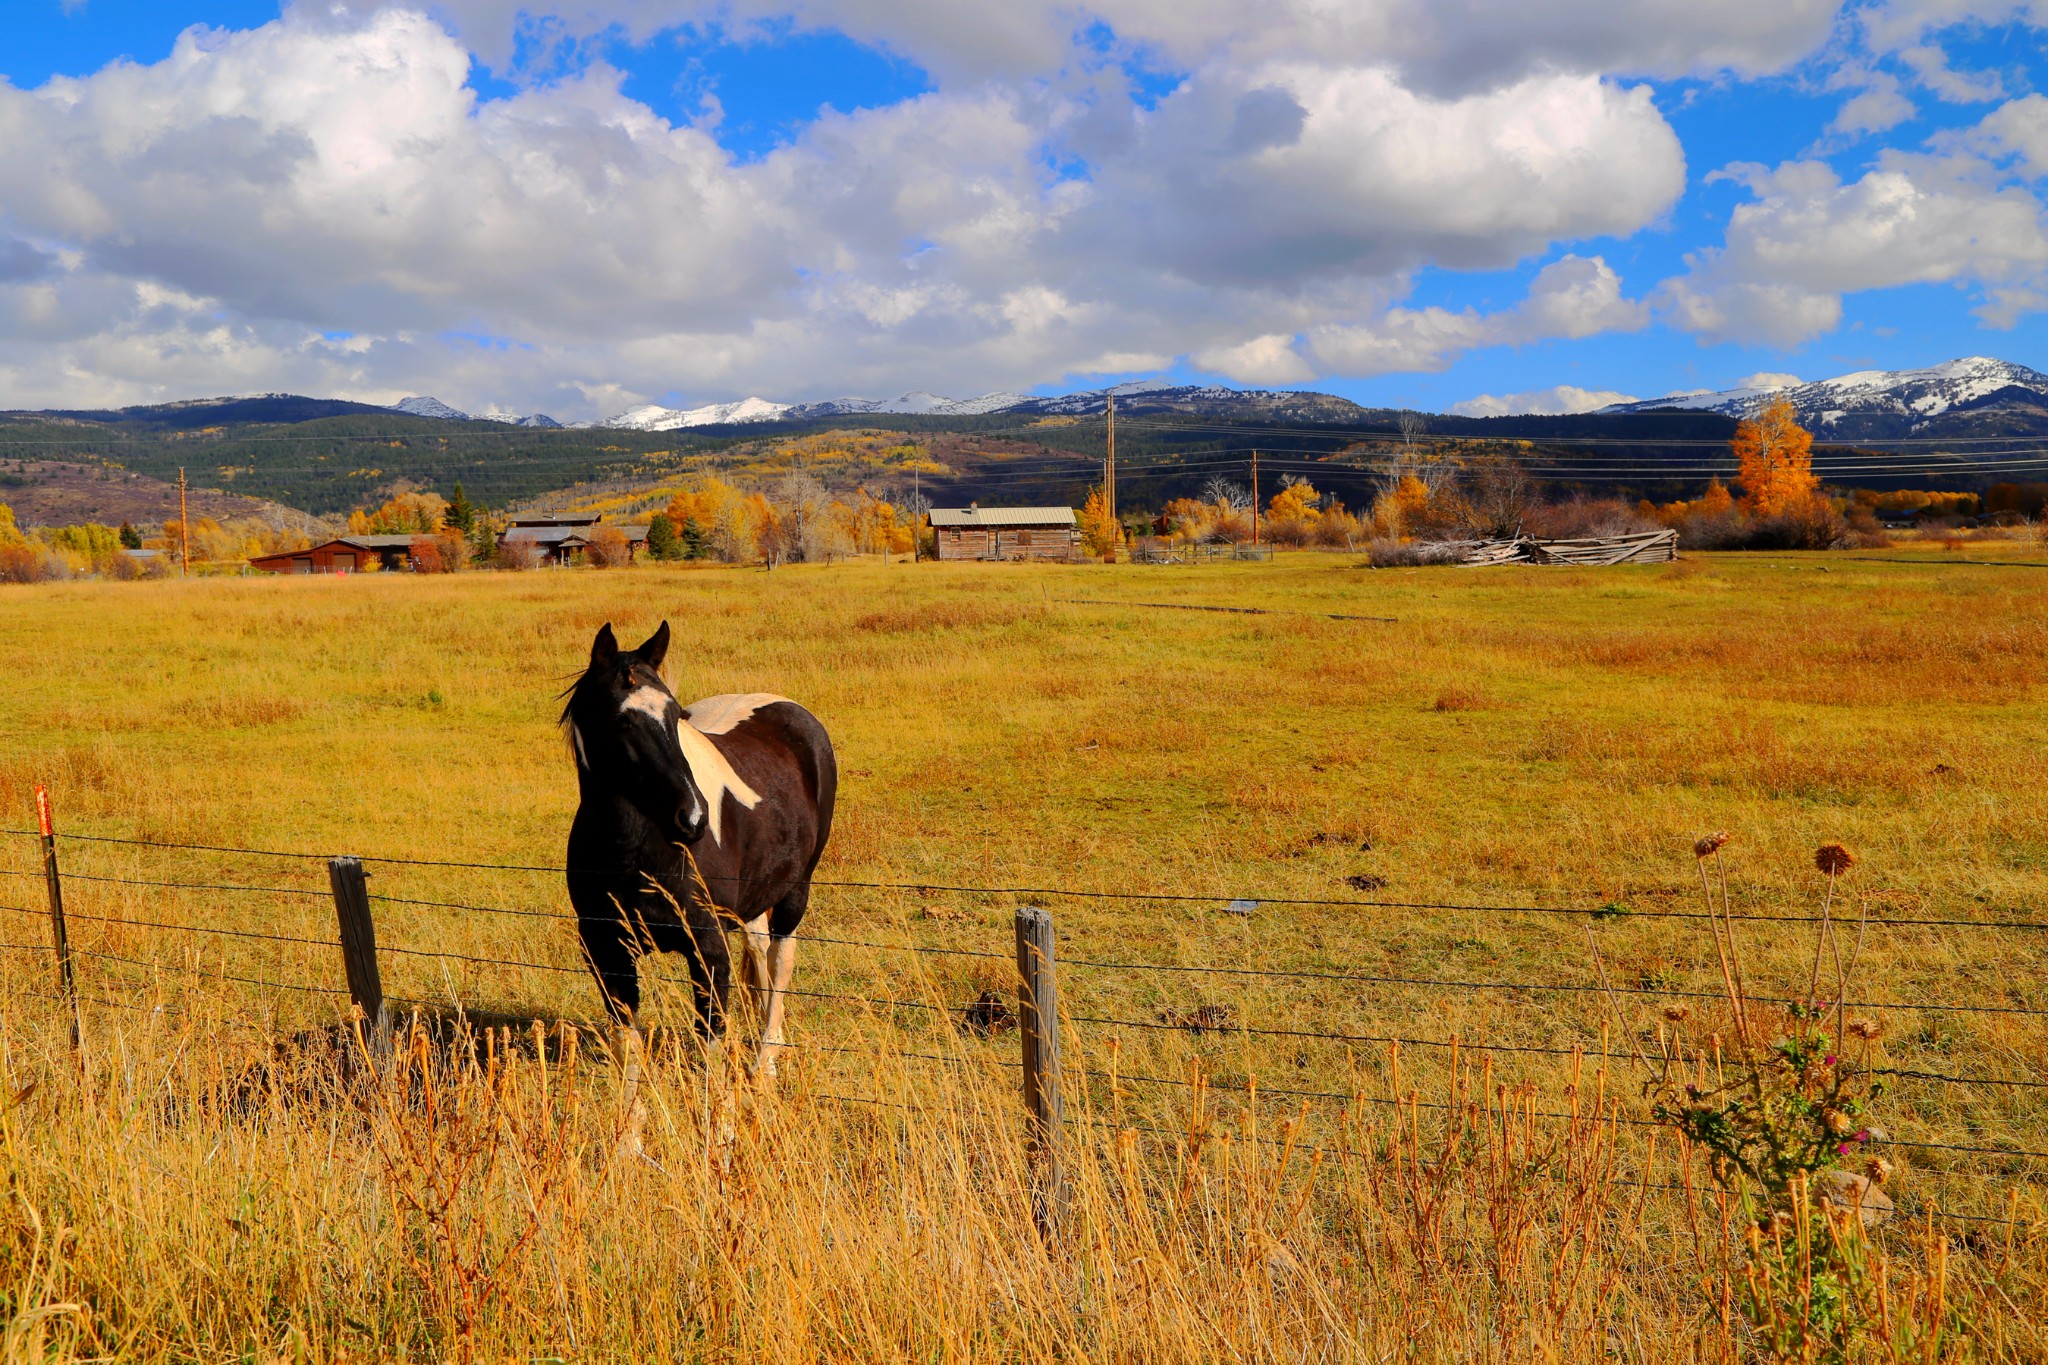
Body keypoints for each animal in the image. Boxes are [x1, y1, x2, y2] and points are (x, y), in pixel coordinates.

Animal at [557, 626, 835, 1072]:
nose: (693, 818)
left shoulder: (708, 950)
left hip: (795, 892)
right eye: (621, 719)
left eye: (676, 715)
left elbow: (711, 1049)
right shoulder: (606, 950)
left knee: (779, 962)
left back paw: (765, 1063)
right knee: (759, 949)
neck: (635, 852)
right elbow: (629, 1052)